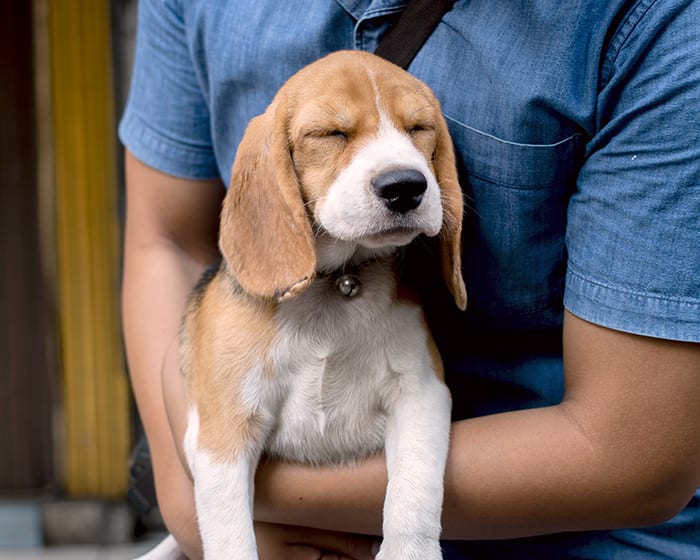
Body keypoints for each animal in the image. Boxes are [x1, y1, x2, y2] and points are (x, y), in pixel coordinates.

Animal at [139, 50, 464, 556]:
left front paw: (409, 551)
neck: (334, 287)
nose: (405, 186)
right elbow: (232, 537)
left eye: (418, 128)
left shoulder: (421, 395)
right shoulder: (222, 432)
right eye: (330, 134)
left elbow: (414, 492)